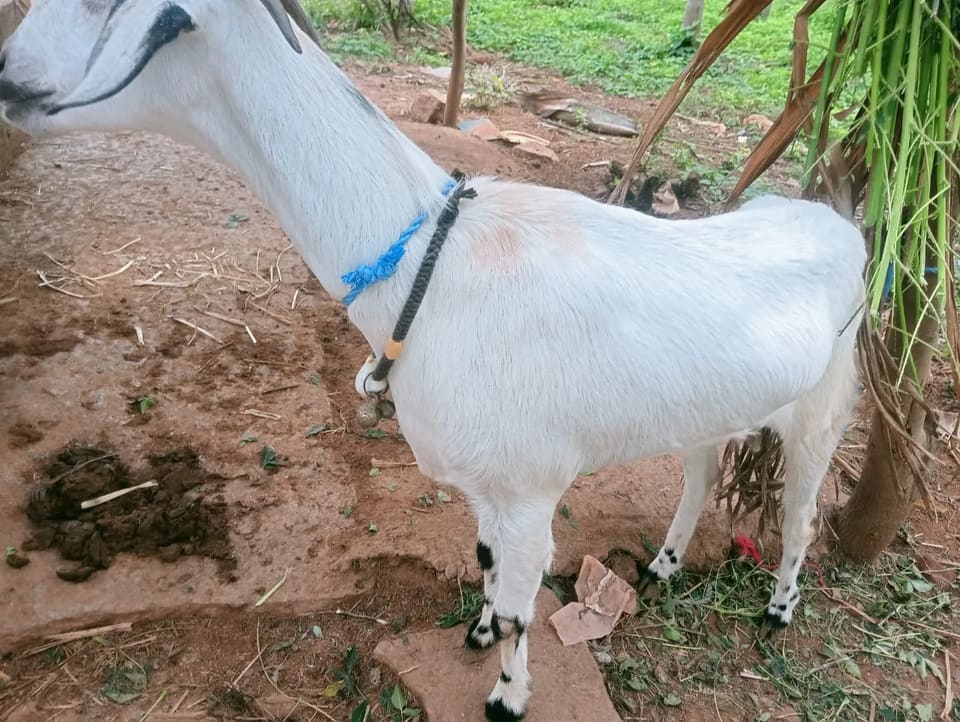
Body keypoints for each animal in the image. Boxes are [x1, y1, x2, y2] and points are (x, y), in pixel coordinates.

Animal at [0, 1, 866, 719]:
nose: (7, 76)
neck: (436, 264)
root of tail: (838, 224)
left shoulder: (530, 489)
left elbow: (520, 604)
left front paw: (507, 697)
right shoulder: (485, 480)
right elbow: (482, 564)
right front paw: (477, 635)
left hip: (825, 402)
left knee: (800, 510)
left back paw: (778, 609)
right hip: (711, 407)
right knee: (702, 469)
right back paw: (663, 564)